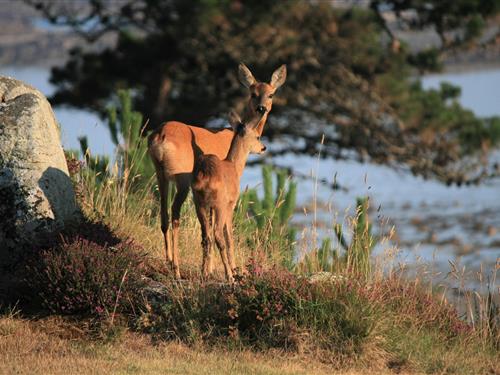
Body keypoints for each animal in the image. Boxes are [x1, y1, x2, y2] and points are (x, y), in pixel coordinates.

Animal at [190, 111, 266, 282]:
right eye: (257, 136)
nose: (263, 148)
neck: (234, 167)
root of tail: (205, 176)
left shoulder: (210, 207)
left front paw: (209, 270)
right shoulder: (231, 204)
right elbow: (230, 237)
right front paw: (235, 270)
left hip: (199, 202)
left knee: (206, 236)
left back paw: (204, 273)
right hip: (219, 203)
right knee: (218, 235)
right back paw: (229, 275)